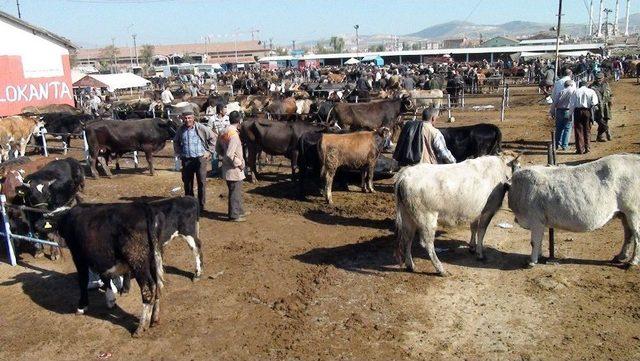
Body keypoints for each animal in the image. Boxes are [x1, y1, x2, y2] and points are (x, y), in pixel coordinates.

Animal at [38, 201, 165, 336]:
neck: (68, 218)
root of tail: (144, 207)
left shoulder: (78, 256)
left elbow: (83, 280)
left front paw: (82, 306)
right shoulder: (100, 259)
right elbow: (104, 276)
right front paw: (110, 299)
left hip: (138, 261)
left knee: (148, 289)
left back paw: (141, 327)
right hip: (154, 258)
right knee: (157, 285)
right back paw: (154, 319)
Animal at [510, 152, 640, 268]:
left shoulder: (536, 220)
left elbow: (534, 242)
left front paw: (532, 261)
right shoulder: (539, 222)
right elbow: (539, 240)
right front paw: (539, 256)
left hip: (633, 210)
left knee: (636, 234)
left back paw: (633, 262)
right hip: (624, 213)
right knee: (629, 233)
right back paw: (621, 256)